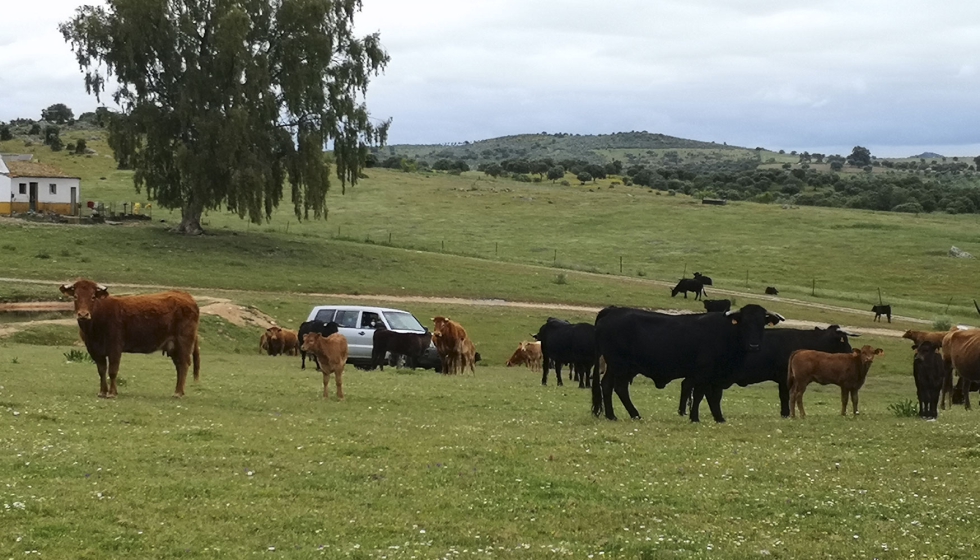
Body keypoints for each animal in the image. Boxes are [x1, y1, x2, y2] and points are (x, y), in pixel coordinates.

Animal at [58, 278, 203, 398]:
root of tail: (185, 296)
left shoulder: (115, 348)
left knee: (183, 364)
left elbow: (113, 370)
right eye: (75, 296)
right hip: (173, 347)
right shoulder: (94, 350)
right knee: (179, 366)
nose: (83, 314)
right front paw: (102, 392)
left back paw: (178, 393)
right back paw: (178, 391)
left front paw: (112, 393)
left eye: (93, 297)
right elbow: (101, 370)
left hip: (183, 342)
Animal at [588, 306, 788, 420]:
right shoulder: (703, 374)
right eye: (744, 322)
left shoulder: (716, 377)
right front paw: (694, 417)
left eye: (762, 323)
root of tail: (613, 310)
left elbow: (715, 397)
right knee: (618, 388)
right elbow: (700, 395)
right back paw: (629, 414)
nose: (754, 345)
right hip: (620, 365)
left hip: (620, 367)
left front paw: (719, 418)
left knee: (608, 386)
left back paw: (613, 415)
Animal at [676, 322, 852, 418]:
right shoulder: (783, 378)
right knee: (689, 386)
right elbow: (784, 396)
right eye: (843, 340)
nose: (851, 351)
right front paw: (785, 413)